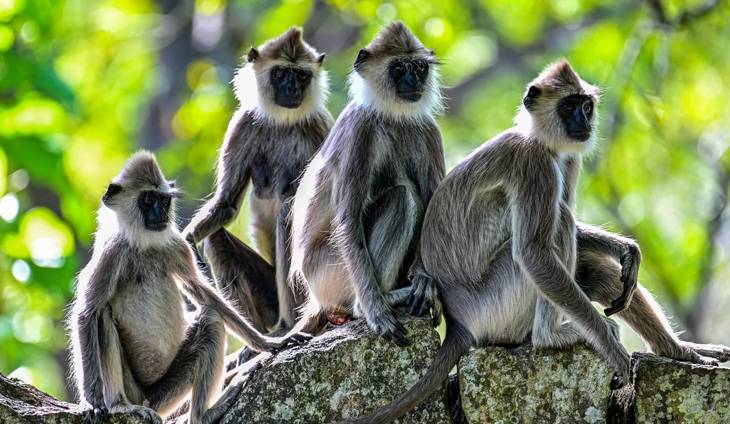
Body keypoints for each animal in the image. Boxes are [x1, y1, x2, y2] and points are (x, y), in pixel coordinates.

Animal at [68, 152, 310, 424]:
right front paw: (92, 401)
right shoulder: (111, 254)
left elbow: (204, 294)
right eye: (149, 199)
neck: (144, 246)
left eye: (163, 200)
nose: (161, 212)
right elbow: (87, 313)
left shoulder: (178, 247)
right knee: (103, 315)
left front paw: (268, 343)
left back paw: (202, 414)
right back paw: (120, 405)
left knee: (211, 319)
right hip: (138, 392)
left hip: (166, 395)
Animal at [182, 27, 333, 332]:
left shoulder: (320, 125)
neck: (284, 122)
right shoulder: (243, 125)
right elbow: (226, 204)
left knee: (288, 213)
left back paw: (293, 324)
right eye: (281, 73)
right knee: (216, 238)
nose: (292, 89)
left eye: (301, 75)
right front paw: (187, 242)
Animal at [285, 21, 445, 345]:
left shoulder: (428, 130)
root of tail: (316, 300)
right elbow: (348, 218)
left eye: (420, 67)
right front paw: (375, 312)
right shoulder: (360, 128)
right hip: (328, 270)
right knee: (402, 197)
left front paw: (424, 280)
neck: (393, 116)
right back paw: (371, 304)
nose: (412, 80)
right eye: (398, 68)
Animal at [340, 60, 730, 424]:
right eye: (569, 107)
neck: (536, 138)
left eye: (586, 106)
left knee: (593, 266)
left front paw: (627, 250)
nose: (584, 121)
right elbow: (533, 252)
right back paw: (549, 336)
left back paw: (678, 351)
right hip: (495, 305)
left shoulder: (566, 158)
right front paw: (611, 348)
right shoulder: (535, 164)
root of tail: (458, 323)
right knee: (554, 229)